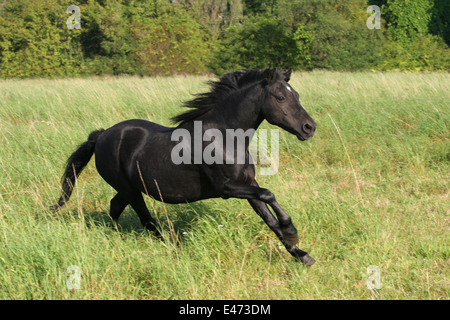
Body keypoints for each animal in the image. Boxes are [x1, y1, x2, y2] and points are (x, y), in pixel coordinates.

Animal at [51, 69, 316, 264]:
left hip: (130, 188)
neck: (225, 138)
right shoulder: (226, 188)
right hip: (129, 189)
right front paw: (292, 231)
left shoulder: (248, 184)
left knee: (116, 207)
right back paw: (173, 248)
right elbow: (269, 195)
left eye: (297, 95)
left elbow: (269, 218)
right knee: (146, 219)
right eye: (280, 97)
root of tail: (102, 135)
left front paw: (302, 255)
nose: (309, 127)